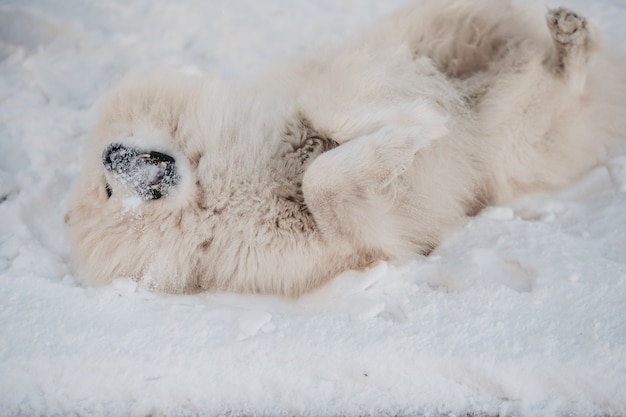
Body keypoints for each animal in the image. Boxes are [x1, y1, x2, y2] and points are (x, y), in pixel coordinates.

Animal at [66, 0, 624, 294]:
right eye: (110, 194)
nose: (111, 155)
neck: (224, 183)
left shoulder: (320, 84)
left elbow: (325, 106)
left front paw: (415, 114)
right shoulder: (364, 241)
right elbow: (324, 181)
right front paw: (412, 132)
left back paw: (565, 32)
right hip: (519, 138)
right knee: (565, 85)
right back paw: (570, 46)